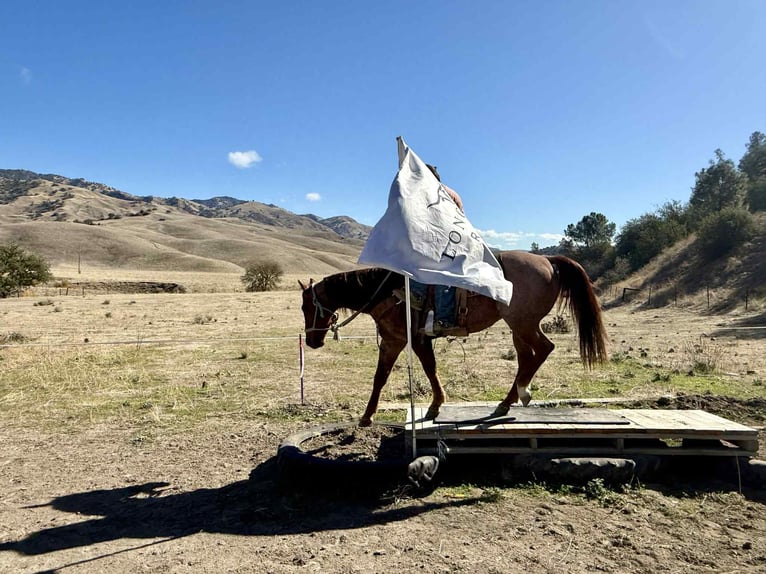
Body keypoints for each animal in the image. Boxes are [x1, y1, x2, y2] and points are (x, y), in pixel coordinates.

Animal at [299, 250, 608, 427]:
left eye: (306, 307)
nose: (312, 341)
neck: (386, 289)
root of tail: (548, 261)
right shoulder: (393, 341)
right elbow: (380, 377)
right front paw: (367, 416)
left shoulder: (415, 339)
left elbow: (429, 369)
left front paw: (434, 406)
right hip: (519, 327)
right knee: (526, 358)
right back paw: (506, 401)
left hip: (523, 323)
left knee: (543, 349)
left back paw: (523, 392)